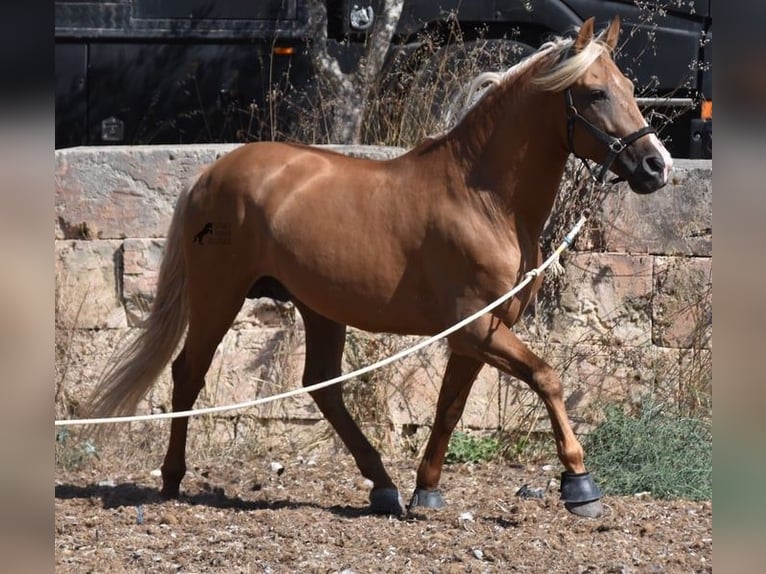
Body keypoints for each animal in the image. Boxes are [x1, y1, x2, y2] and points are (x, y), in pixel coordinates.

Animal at [90, 16, 676, 520]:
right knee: (189, 373)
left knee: (321, 385)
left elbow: (448, 409)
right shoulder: (478, 328)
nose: (657, 166)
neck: (484, 201)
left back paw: (383, 485)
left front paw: (427, 490)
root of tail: (209, 174)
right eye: (595, 92)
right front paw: (579, 484)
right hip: (219, 295)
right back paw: (171, 479)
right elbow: (547, 377)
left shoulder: (476, 336)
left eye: (628, 85)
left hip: (318, 307)